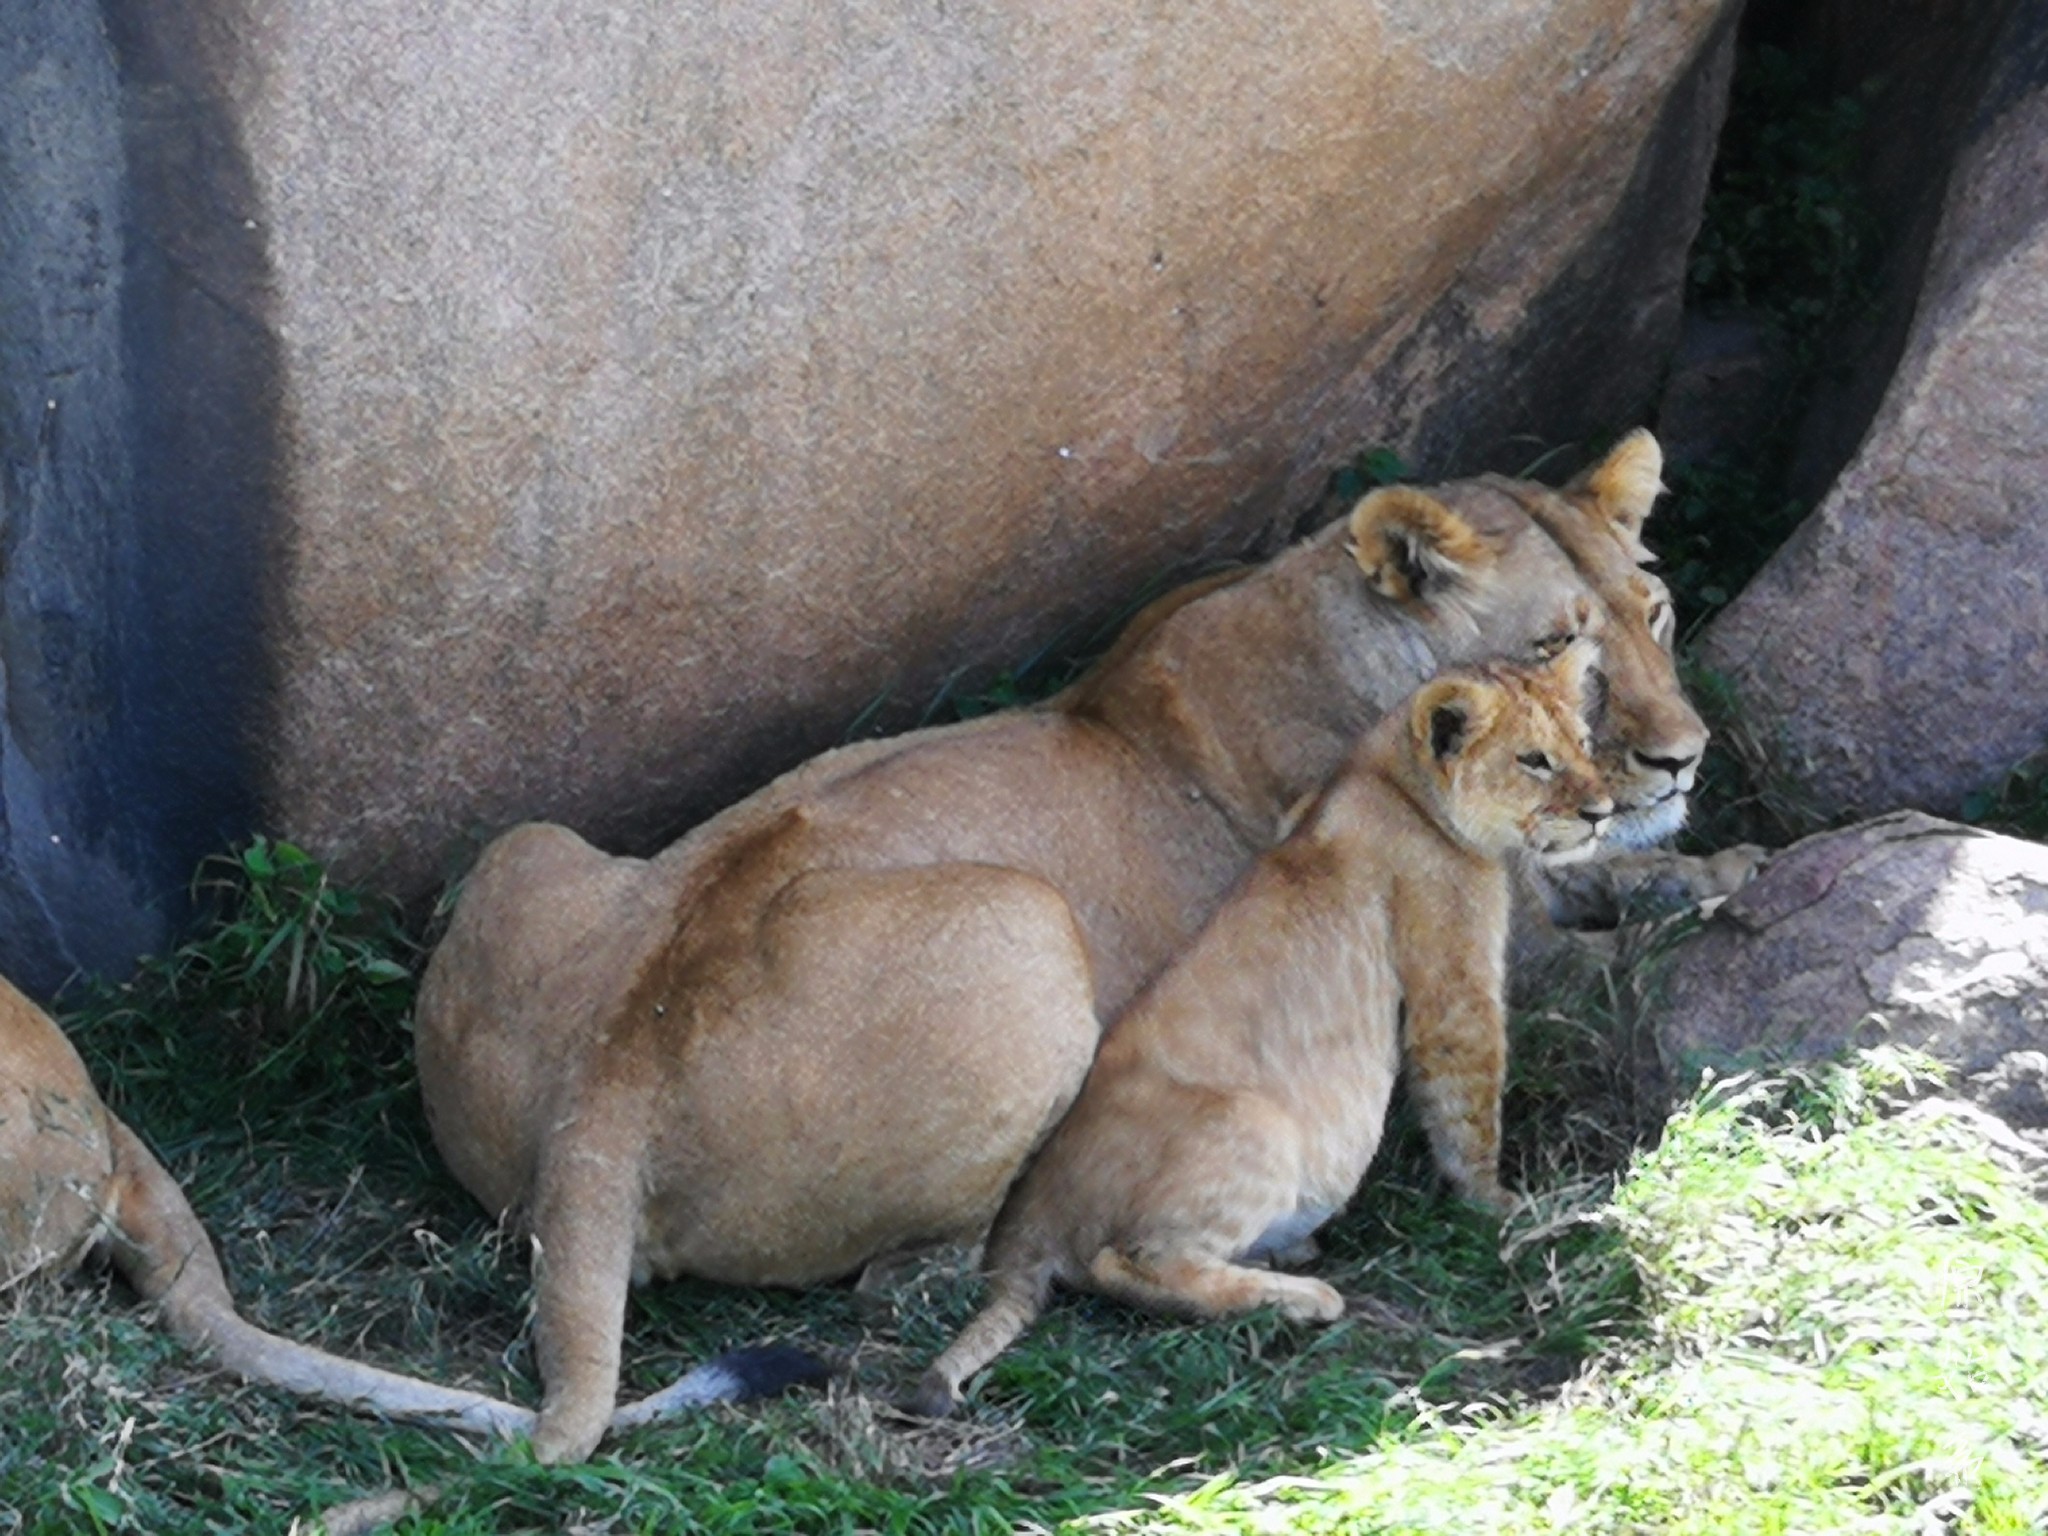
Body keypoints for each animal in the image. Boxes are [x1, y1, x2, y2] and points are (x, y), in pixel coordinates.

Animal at [423, 428, 1720, 1458]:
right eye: (1563, 648)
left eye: (1650, 613)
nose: (1682, 758)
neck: (1319, 611)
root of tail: (607, 1095)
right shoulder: (1485, 937)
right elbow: (1615, 971)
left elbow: (1641, 875)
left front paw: (1702, 860)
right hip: (1027, 928)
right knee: (917, 1278)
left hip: (524, 849)